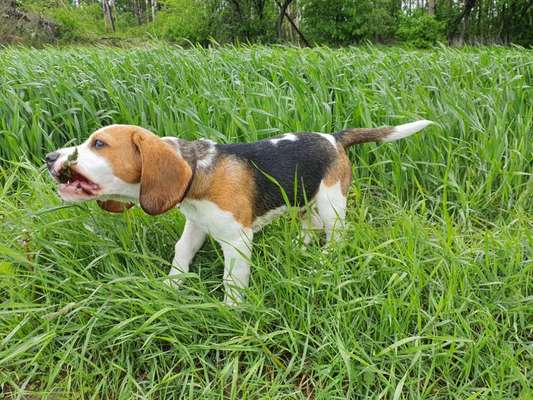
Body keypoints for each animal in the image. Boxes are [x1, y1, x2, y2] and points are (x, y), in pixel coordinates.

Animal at [43, 120, 430, 304]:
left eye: (98, 144)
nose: (49, 158)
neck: (197, 171)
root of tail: (334, 138)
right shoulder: (196, 224)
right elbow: (181, 254)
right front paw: (171, 287)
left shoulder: (237, 240)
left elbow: (232, 280)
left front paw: (232, 311)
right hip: (304, 201)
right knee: (308, 227)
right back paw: (300, 251)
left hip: (331, 203)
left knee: (336, 236)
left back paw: (323, 262)